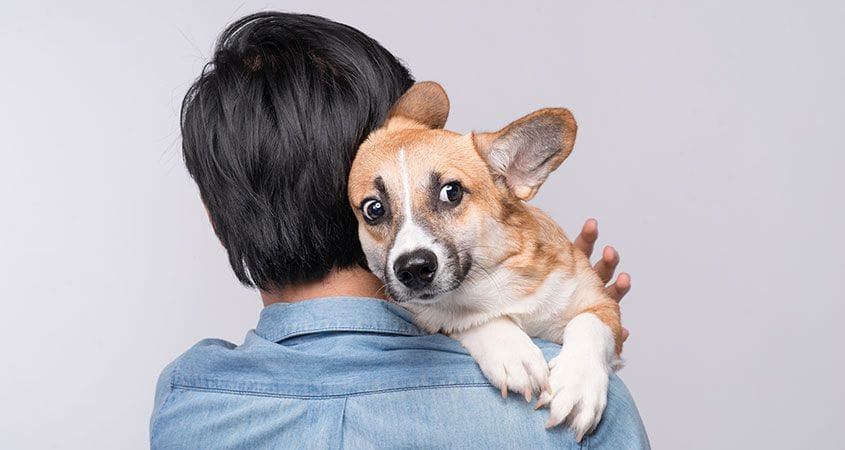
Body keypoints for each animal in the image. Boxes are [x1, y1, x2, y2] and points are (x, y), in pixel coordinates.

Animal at [346, 81, 624, 440]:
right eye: (374, 209)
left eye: (451, 192)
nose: (414, 269)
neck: (493, 284)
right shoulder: (429, 314)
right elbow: (463, 319)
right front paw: (511, 351)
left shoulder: (601, 304)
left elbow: (589, 324)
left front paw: (579, 385)